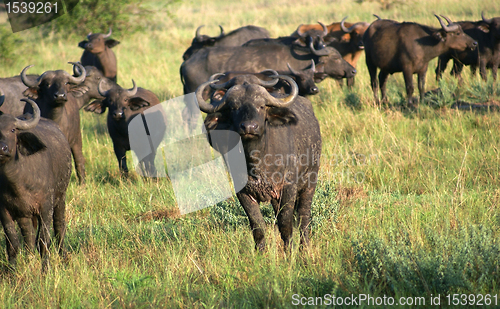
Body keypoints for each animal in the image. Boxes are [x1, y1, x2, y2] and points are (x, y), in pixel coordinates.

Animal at [0, 96, 71, 270]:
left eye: (13, 130)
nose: (2, 149)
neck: (18, 183)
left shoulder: (45, 206)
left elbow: (44, 240)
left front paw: (46, 269)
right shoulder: (4, 210)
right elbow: (13, 243)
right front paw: (11, 271)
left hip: (60, 198)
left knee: (59, 226)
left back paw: (63, 255)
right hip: (25, 214)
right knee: (28, 236)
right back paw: (29, 255)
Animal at [195, 74, 320, 250]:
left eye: (261, 106)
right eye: (233, 108)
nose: (249, 127)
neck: (256, 162)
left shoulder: (288, 187)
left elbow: (286, 223)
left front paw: (290, 251)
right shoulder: (243, 193)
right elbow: (258, 226)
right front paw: (261, 252)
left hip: (310, 182)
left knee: (303, 215)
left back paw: (305, 247)